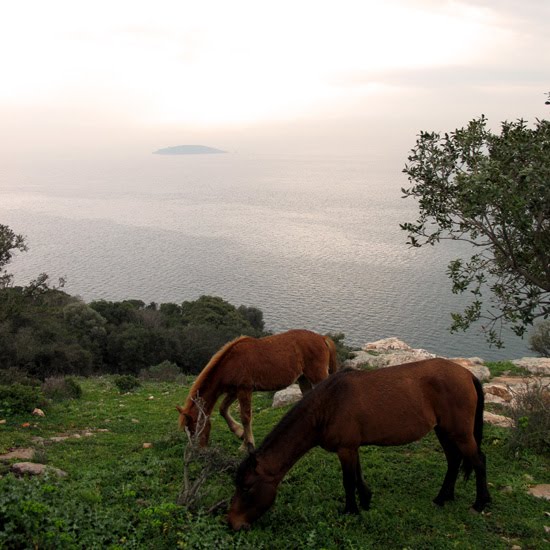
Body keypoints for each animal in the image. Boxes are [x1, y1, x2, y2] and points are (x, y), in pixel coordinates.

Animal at [176, 329, 339, 449]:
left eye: (195, 427)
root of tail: (322, 338)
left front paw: (247, 444)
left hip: (317, 375)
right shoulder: (234, 391)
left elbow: (245, 417)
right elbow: (223, 409)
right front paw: (241, 434)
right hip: (303, 378)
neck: (231, 363)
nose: (199, 450)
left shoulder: (244, 389)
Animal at [227, 358, 491, 530]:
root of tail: (468, 375)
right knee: (454, 460)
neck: (327, 406)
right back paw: (442, 497)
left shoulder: (345, 449)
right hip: (444, 430)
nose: (231, 522)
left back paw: (480, 503)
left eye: (247, 488)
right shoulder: (353, 447)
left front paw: (350, 510)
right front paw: (365, 499)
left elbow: (348, 480)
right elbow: (358, 475)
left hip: (460, 432)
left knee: (478, 461)